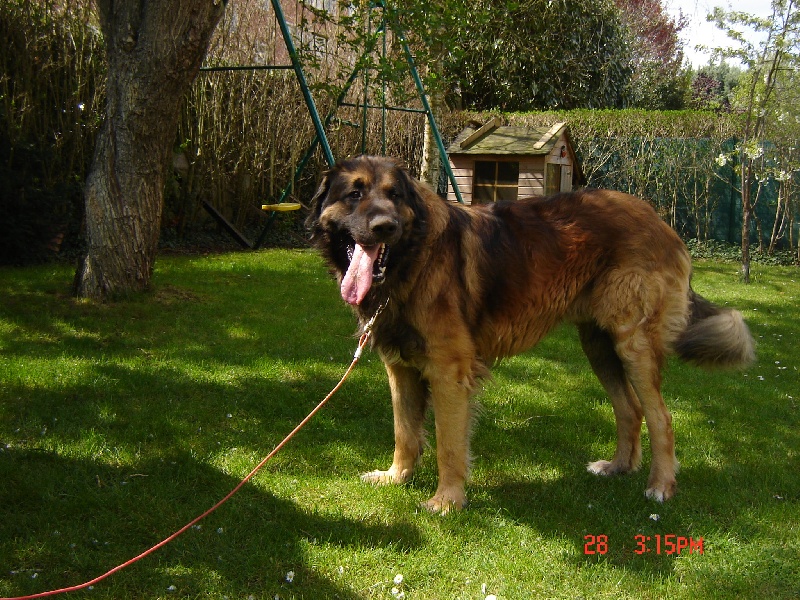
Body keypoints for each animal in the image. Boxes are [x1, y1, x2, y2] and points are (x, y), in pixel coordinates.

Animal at [306, 155, 755, 513]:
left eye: (394, 195)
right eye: (354, 194)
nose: (384, 226)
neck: (410, 259)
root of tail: (660, 221)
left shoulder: (449, 371)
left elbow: (448, 444)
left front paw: (447, 500)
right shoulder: (400, 368)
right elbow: (405, 432)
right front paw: (397, 476)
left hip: (633, 343)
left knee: (662, 417)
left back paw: (661, 485)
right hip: (599, 344)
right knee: (630, 408)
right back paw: (618, 467)